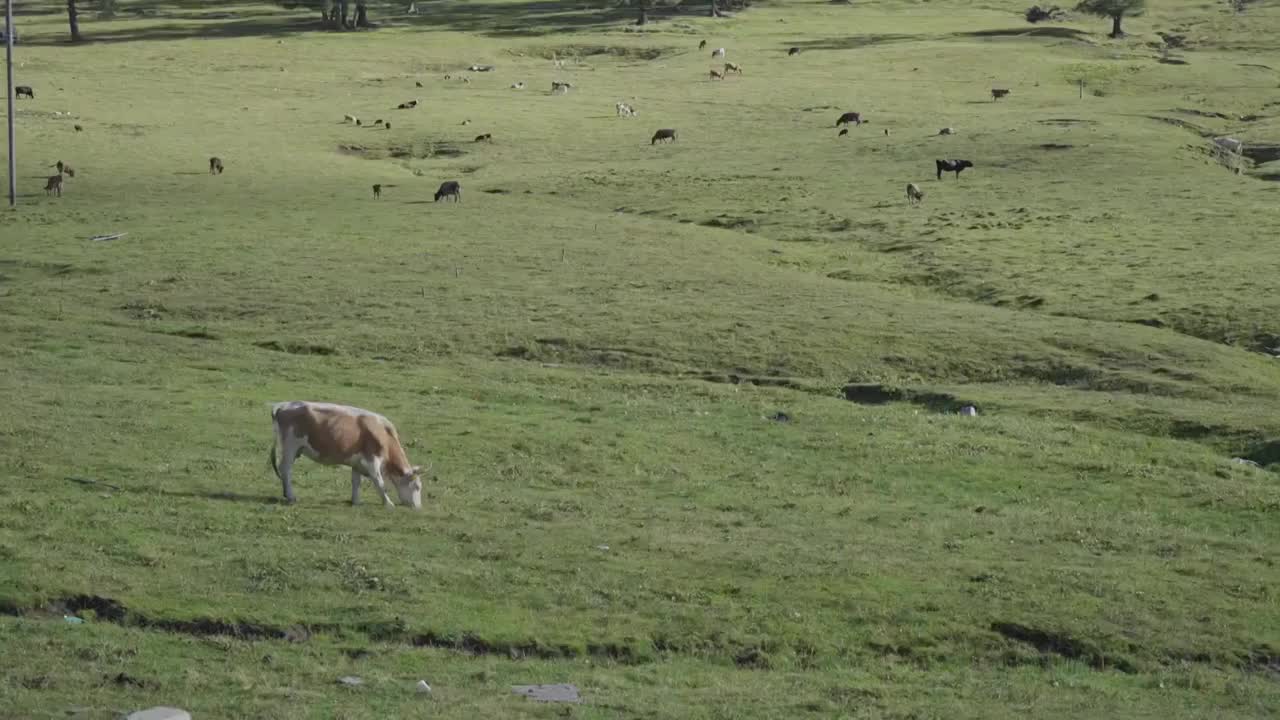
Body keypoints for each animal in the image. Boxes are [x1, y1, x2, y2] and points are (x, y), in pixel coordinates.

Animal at [270, 394, 430, 507]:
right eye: (417, 487)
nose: (418, 507)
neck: (384, 435)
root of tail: (284, 405)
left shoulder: (357, 463)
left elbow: (356, 481)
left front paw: (356, 501)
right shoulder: (372, 459)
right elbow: (379, 482)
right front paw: (388, 504)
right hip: (290, 447)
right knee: (285, 469)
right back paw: (290, 496)